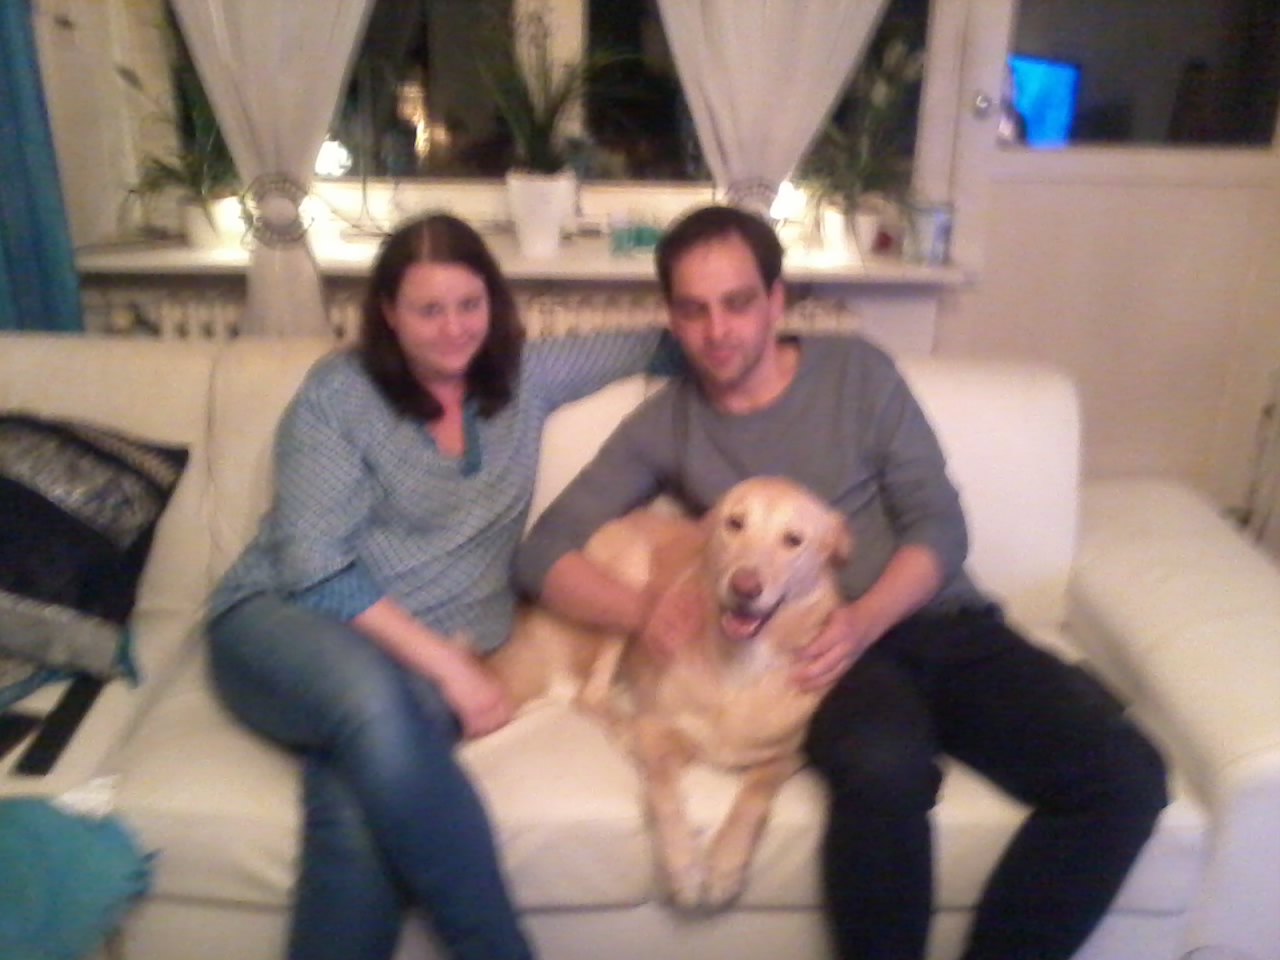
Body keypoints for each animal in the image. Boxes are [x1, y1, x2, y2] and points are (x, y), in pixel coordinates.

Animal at [488, 476, 851, 910]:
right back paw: (622, 725)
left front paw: (725, 865)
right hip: (628, 581)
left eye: (793, 539)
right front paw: (683, 866)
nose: (744, 586)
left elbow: (754, 796)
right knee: (591, 694)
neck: (740, 666)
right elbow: (663, 792)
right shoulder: (659, 732)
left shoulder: (788, 756)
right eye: (735, 523)